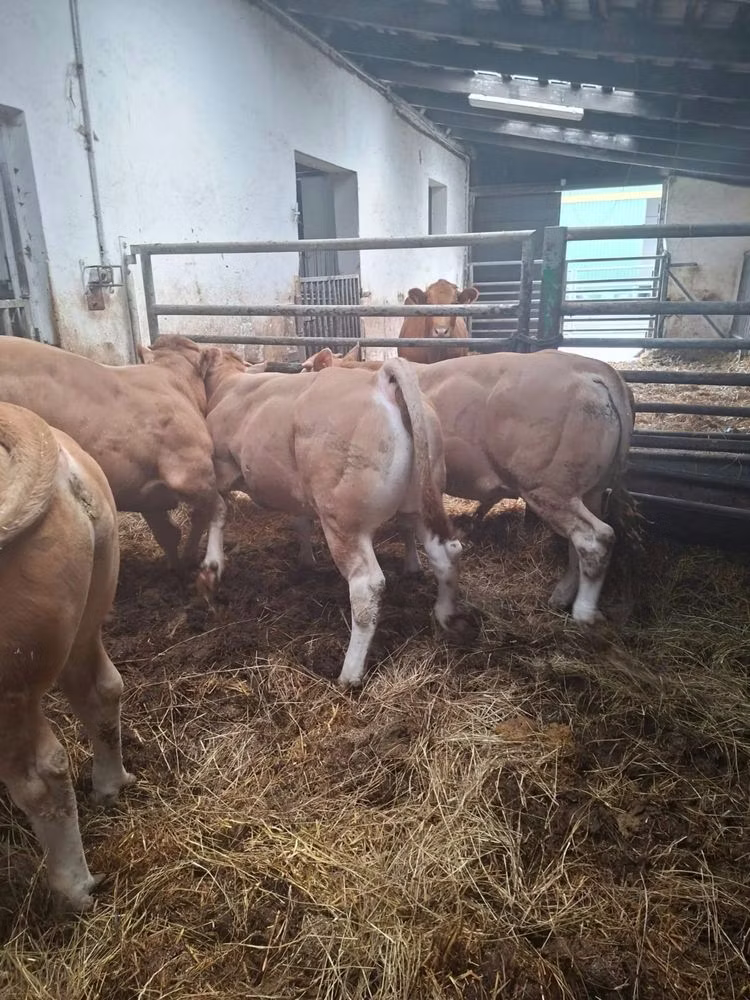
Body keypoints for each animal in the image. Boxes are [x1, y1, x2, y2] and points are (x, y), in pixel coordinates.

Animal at [0, 335, 221, 569]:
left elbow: (168, 533)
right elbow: (201, 516)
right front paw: (188, 560)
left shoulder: (145, 491)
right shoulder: (192, 473)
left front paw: (176, 566)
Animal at [0, 402, 133, 910]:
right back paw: (111, 786)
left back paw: (72, 888)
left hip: (9, 687)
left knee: (40, 773)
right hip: (87, 615)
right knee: (101, 689)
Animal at [197, 349, 464, 687]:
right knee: (444, 555)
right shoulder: (296, 488)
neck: (228, 384)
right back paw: (445, 616)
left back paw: (349, 674)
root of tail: (379, 380)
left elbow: (216, 512)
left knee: (367, 586)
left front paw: (211, 569)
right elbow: (300, 521)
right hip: (421, 502)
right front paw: (306, 560)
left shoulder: (218, 466)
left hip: (344, 522)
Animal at [303, 347, 634, 625]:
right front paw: (413, 565)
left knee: (595, 538)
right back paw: (562, 596)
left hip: (549, 487)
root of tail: (596, 369)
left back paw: (583, 613)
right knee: (577, 544)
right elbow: (408, 525)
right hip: (588, 491)